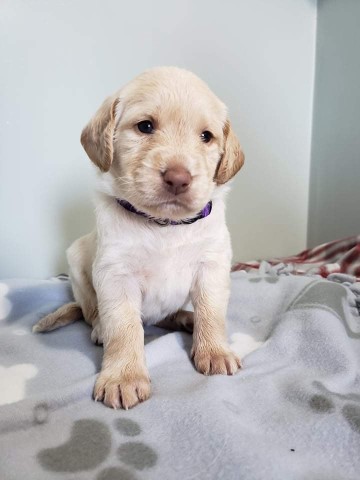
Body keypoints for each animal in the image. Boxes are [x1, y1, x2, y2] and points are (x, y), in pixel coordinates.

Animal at [33, 66, 246, 408]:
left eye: (206, 136)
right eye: (145, 126)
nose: (178, 178)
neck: (164, 225)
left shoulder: (212, 265)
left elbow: (212, 312)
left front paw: (215, 350)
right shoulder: (116, 273)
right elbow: (124, 327)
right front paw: (124, 376)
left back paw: (184, 318)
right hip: (77, 260)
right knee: (92, 312)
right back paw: (100, 329)